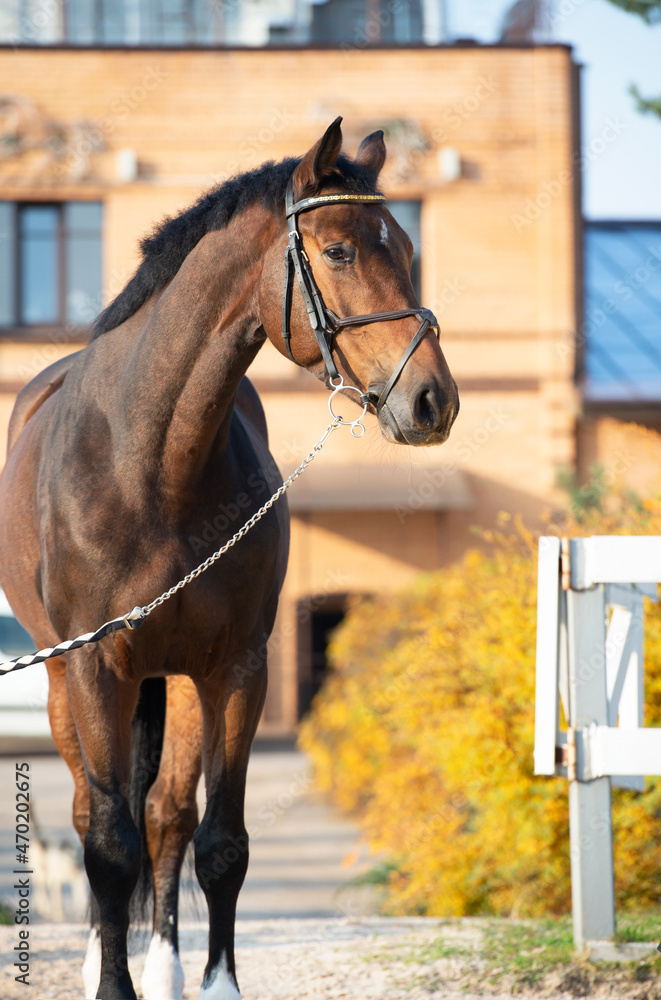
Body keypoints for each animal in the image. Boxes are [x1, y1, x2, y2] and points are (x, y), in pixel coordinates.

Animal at [0, 118, 458, 1000]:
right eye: (340, 250)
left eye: (411, 245)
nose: (432, 400)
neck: (152, 467)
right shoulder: (95, 668)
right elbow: (107, 845)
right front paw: (112, 985)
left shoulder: (237, 667)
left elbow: (220, 842)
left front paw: (214, 982)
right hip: (62, 678)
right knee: (93, 813)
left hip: (177, 680)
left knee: (167, 814)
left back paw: (166, 967)